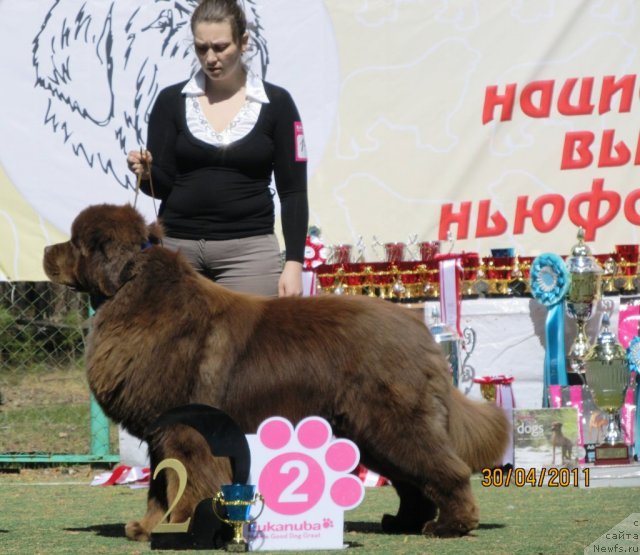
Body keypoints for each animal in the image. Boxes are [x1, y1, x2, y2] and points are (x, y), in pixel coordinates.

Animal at [42, 204, 508, 544]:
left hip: (391, 422)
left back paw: (450, 525)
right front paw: (147, 528)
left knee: (443, 467)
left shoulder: (183, 431)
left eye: (76, 243)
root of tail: (418, 328)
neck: (134, 295)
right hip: (370, 431)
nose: (47, 252)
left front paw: (180, 527)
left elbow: (181, 481)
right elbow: (161, 485)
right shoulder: (164, 432)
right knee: (412, 479)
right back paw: (404, 521)